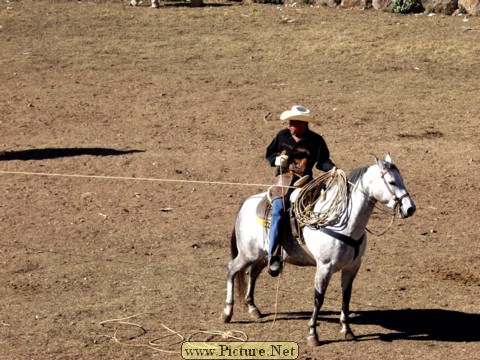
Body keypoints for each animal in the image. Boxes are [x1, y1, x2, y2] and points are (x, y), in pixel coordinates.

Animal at [221, 154, 416, 346]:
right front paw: (312, 334)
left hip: (263, 256)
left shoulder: (352, 266)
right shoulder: (325, 267)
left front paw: (347, 330)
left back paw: (252, 307)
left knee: (252, 274)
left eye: (402, 180)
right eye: (392, 182)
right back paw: (227, 312)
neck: (343, 222)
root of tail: (246, 204)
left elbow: (346, 296)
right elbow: (319, 298)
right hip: (248, 254)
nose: (410, 208)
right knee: (232, 269)